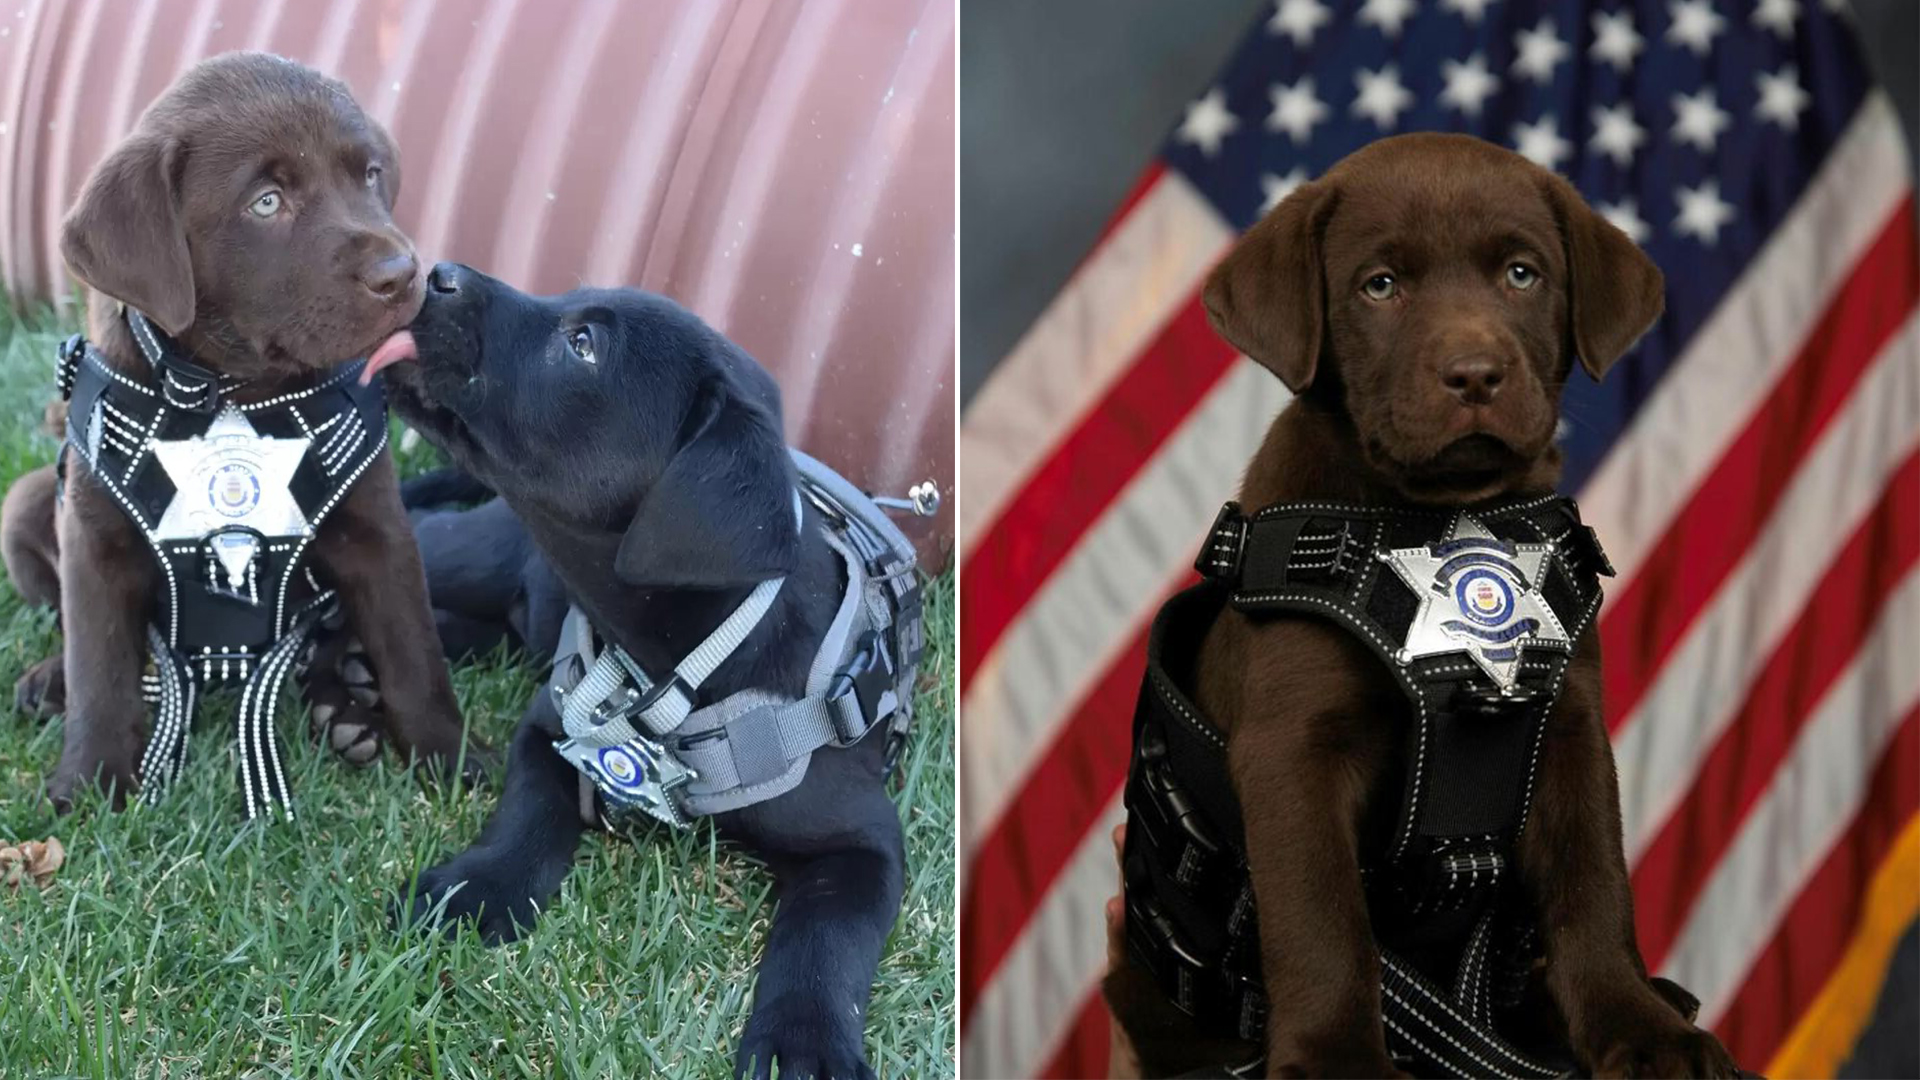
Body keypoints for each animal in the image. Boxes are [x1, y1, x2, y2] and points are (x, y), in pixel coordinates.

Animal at [5, 52, 470, 807]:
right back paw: (49, 681)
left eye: (370, 175)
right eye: (267, 202)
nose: (404, 274)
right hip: (25, 504)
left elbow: (414, 653)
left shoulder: (380, 528)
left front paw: (453, 757)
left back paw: (345, 709)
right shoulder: (94, 538)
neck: (230, 388)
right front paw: (90, 780)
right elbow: (99, 665)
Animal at [380, 261, 906, 1076]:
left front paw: (805, 1038)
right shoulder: (552, 724)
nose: (437, 273)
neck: (691, 667)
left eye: (583, 344)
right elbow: (528, 812)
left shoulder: (868, 842)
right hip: (476, 555)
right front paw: (477, 891)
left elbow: (827, 933)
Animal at [1098, 136, 1743, 1076]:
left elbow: (1594, 886)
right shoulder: (1291, 749)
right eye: (1379, 286)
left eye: (1521, 273)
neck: (1431, 516)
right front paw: (1338, 1060)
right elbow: (1324, 921)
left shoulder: (1569, 728)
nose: (1475, 374)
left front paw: (1641, 1028)